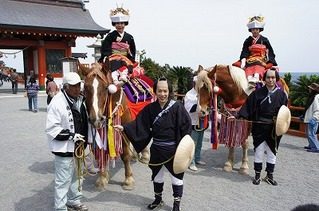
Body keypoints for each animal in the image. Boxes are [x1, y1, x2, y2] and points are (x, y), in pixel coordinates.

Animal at [78, 58, 152, 190]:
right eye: (85, 88)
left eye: (105, 87)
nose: (95, 118)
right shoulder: (102, 129)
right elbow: (102, 154)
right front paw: (102, 178)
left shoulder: (123, 129)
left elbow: (125, 155)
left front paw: (128, 179)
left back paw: (144, 156)